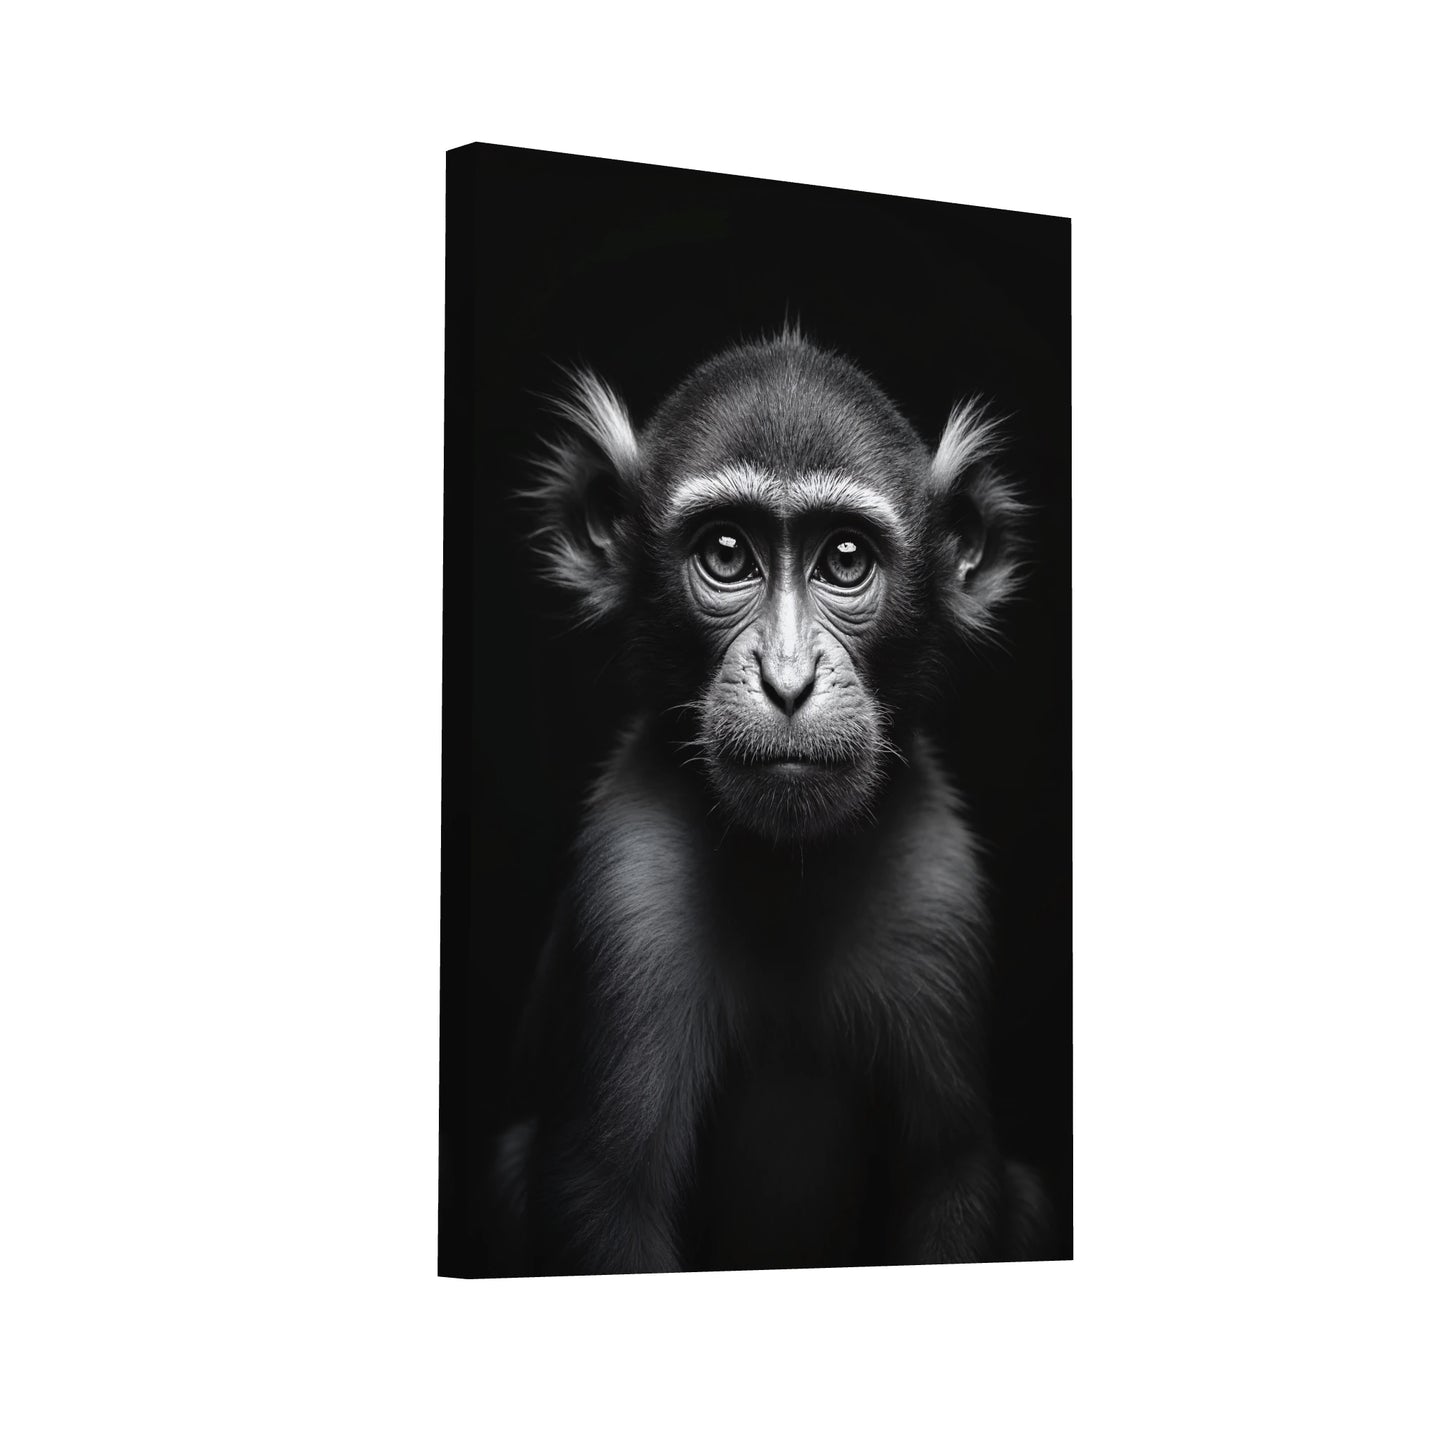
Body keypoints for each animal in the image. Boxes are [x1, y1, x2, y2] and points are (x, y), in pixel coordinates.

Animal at [488, 328, 1054, 1274]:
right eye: (725, 554)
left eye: (845, 559)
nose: (787, 681)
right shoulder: (631, 876)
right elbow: (604, 1193)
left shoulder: (936, 876)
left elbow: (950, 1177)